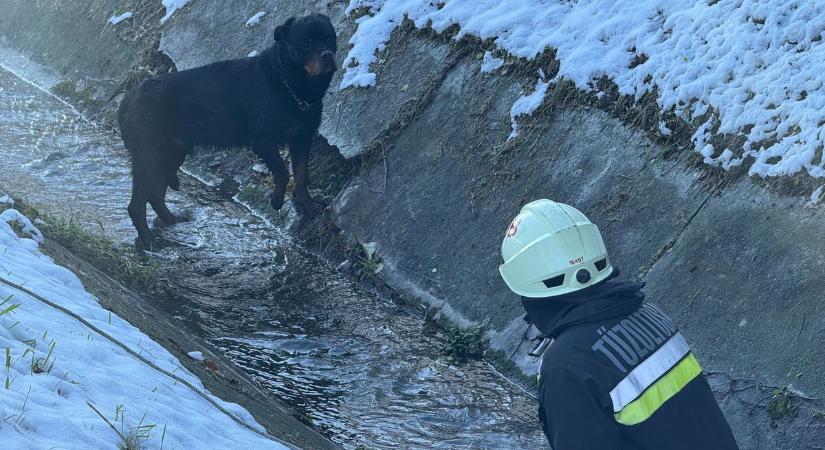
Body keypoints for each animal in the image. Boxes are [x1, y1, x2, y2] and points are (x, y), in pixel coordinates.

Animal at [117, 14, 336, 251]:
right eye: (306, 44)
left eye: (329, 38)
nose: (327, 55)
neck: (288, 83)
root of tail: (127, 100)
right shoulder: (262, 140)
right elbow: (283, 172)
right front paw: (277, 200)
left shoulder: (302, 138)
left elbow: (302, 175)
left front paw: (308, 205)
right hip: (149, 156)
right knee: (137, 204)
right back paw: (149, 240)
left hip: (170, 154)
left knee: (155, 195)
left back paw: (171, 221)